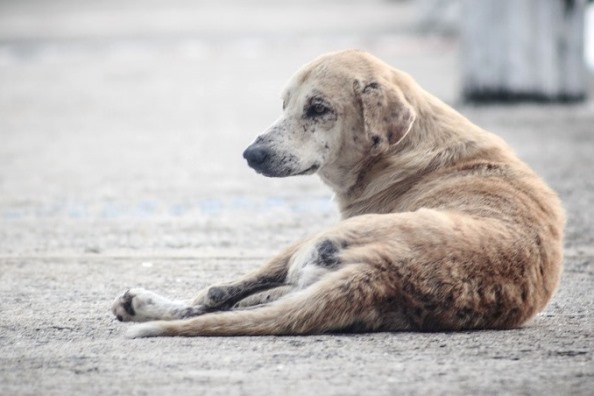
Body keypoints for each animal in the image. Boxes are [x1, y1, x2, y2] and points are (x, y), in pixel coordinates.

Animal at [112, 49, 564, 338]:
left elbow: (220, 292)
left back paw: (143, 305)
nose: (250, 155)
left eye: (318, 108)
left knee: (215, 298)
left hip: (311, 242)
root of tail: (382, 273)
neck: (406, 146)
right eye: (285, 104)